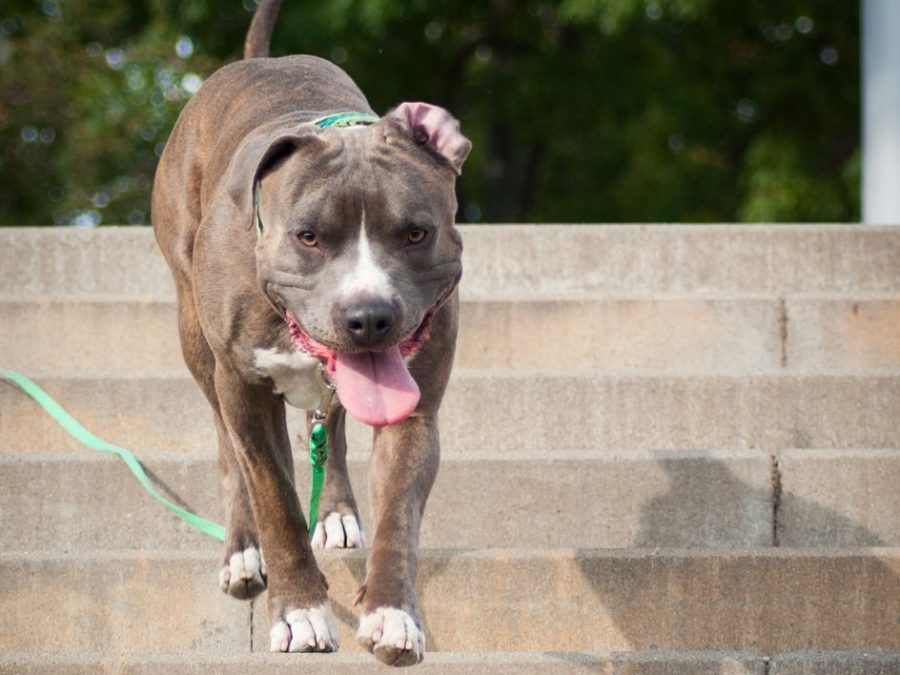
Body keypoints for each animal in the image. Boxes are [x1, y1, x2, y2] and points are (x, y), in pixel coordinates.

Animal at [150, 0, 468, 664]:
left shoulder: (416, 409)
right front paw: (300, 612)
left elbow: (399, 513)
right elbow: (274, 497)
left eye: (417, 232)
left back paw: (338, 513)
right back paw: (242, 551)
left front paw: (393, 615)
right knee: (228, 450)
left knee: (333, 429)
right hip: (196, 337)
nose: (369, 316)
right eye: (309, 236)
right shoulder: (243, 390)